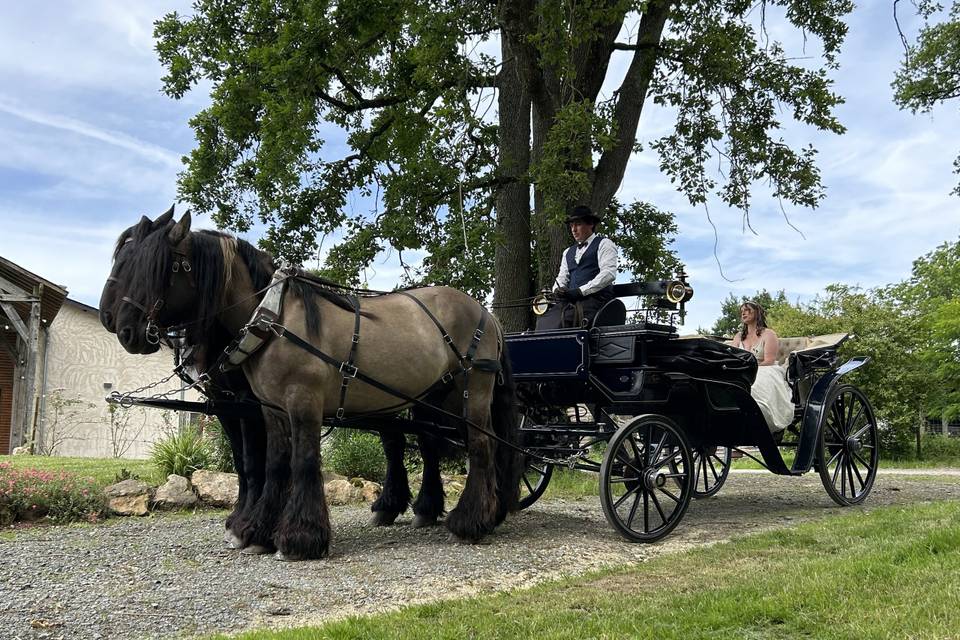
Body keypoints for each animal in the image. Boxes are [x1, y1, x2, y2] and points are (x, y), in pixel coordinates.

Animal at [106, 209, 521, 559]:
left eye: (159, 267)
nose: (123, 328)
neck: (273, 320)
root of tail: (485, 312)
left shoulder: (301, 403)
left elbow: (302, 462)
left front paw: (299, 538)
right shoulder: (269, 409)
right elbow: (273, 465)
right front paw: (256, 532)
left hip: (472, 391)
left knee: (480, 446)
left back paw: (469, 522)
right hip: (431, 398)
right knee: (436, 444)